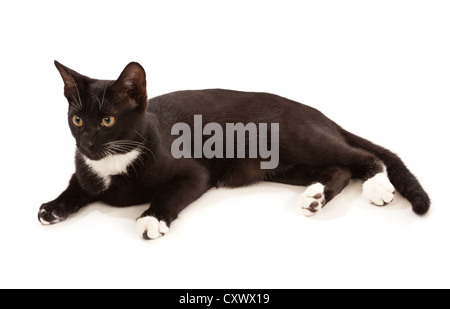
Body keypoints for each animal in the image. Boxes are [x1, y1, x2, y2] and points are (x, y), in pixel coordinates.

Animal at [37, 60, 428, 238]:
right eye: (76, 119)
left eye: (107, 121)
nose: (86, 143)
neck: (115, 163)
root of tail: (316, 113)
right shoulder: (84, 171)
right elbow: (76, 186)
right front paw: (53, 207)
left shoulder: (195, 172)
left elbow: (173, 192)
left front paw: (151, 217)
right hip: (286, 166)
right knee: (340, 170)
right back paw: (315, 197)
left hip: (297, 137)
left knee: (361, 157)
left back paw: (377, 186)